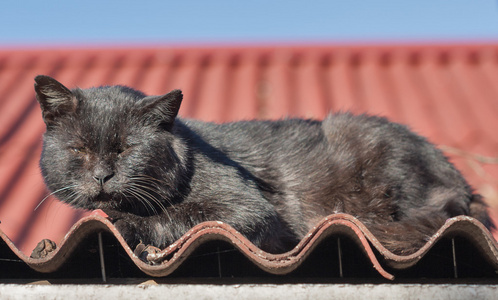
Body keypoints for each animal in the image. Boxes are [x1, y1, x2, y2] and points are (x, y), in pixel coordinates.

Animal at [32, 75, 494, 258]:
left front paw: (133, 228)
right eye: (78, 149)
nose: (101, 176)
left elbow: (175, 218)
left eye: (126, 148)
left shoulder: (251, 212)